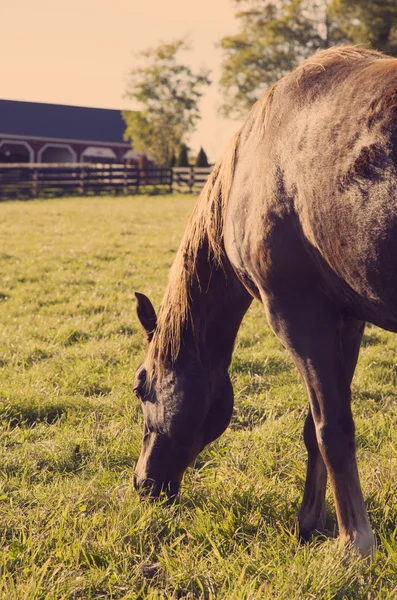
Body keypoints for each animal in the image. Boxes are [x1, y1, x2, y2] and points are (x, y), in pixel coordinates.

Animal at [133, 45, 397, 552]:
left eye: (140, 387)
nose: (142, 483)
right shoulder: (345, 319)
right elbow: (318, 427)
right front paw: (310, 521)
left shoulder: (298, 315)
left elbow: (331, 428)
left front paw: (354, 542)